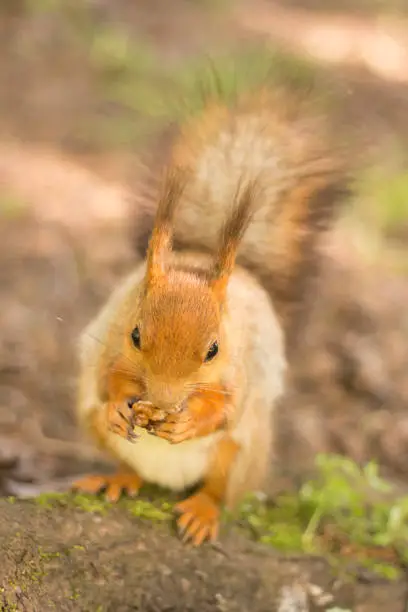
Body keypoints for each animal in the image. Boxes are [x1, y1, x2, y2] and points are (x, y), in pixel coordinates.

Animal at [72, 85, 348, 544]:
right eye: (135, 335)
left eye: (214, 349)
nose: (165, 401)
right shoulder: (111, 339)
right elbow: (107, 378)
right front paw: (120, 406)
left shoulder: (241, 371)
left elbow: (226, 409)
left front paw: (188, 423)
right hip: (93, 426)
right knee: (127, 463)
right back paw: (117, 478)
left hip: (241, 455)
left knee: (220, 488)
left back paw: (202, 511)